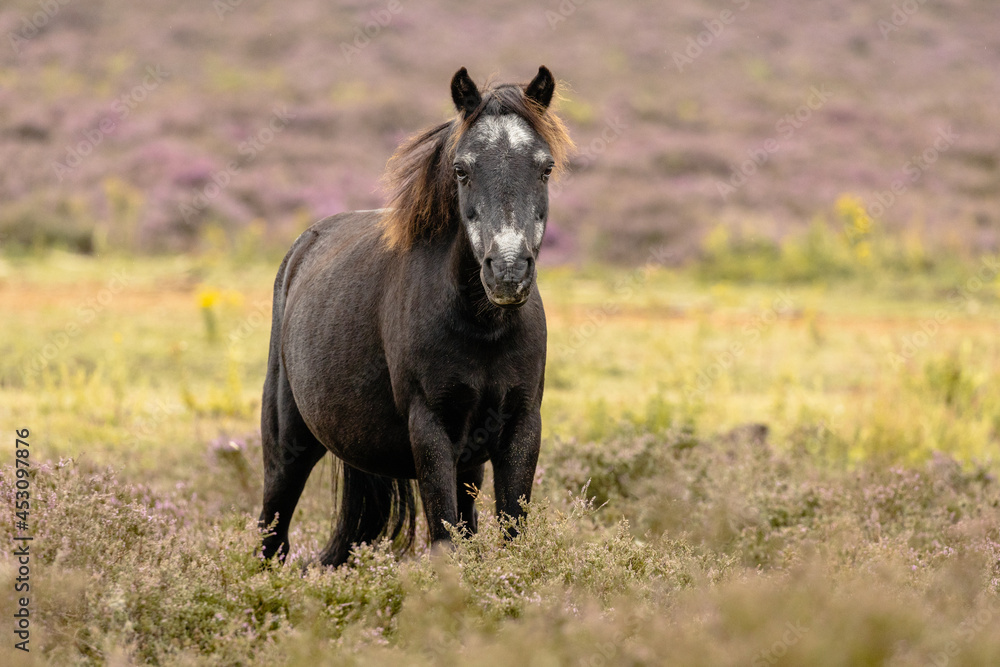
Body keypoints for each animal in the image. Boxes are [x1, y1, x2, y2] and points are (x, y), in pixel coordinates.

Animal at [258, 65, 572, 568]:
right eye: (462, 169)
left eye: (545, 167)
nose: (507, 272)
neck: (482, 328)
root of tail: (303, 247)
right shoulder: (430, 430)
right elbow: (443, 537)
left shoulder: (521, 427)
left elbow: (510, 534)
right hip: (288, 449)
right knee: (272, 537)